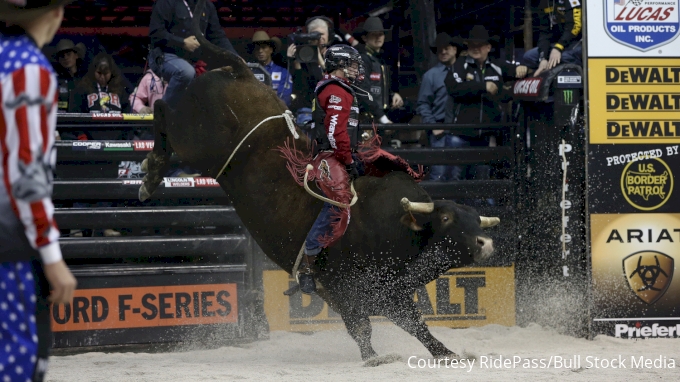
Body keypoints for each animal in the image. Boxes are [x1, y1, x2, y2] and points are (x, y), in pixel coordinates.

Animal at [139, 0, 500, 362]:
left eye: (475, 220)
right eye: (446, 218)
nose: (485, 242)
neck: (395, 224)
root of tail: (241, 71)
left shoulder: (388, 293)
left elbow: (416, 325)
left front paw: (447, 352)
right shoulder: (343, 290)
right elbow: (361, 328)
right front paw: (374, 357)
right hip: (197, 142)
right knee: (162, 109)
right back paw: (151, 172)